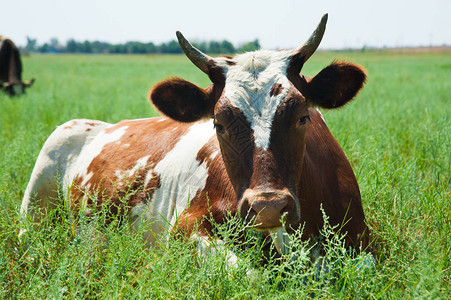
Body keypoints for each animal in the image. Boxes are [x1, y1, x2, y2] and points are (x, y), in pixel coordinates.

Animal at [20, 13, 374, 258]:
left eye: (303, 117)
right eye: (218, 123)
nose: (268, 207)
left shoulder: (363, 242)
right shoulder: (185, 230)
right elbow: (248, 276)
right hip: (33, 213)